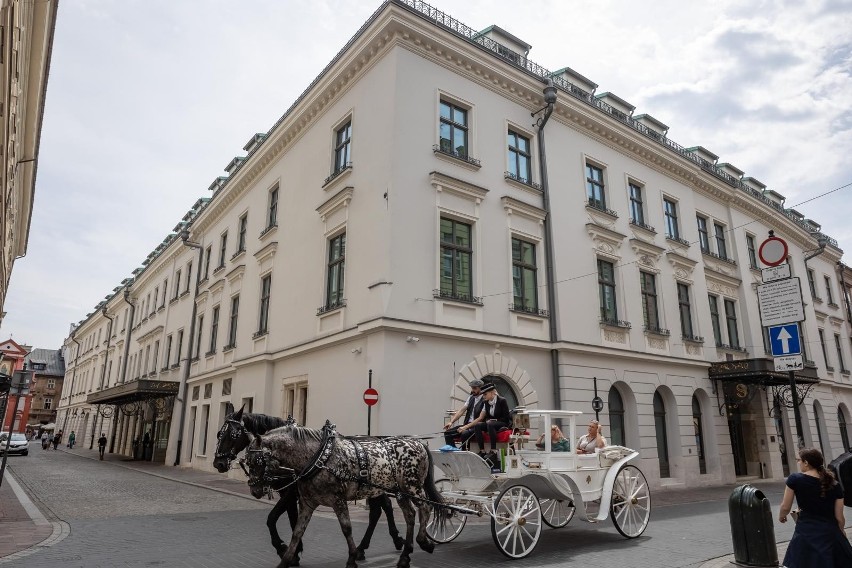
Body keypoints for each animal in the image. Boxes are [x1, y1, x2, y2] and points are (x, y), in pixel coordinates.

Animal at [211, 406, 402, 560]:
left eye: (232, 434)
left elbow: (272, 518)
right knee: (382, 507)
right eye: (219, 434)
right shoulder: (291, 493)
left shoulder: (290, 492)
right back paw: (380, 543)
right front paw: (294, 550)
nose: (218, 463)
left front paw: (283, 548)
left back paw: (376, 544)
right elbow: (292, 519)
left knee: (381, 509)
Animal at [245, 422, 446, 568]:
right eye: (246, 461)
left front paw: (352, 559)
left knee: (425, 507)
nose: (254, 490)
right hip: (400, 492)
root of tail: (418, 443)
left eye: (255, 461)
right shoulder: (307, 503)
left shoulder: (338, 500)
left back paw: (423, 542)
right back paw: (405, 555)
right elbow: (297, 532)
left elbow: (346, 528)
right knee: (409, 516)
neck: (317, 458)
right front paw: (286, 560)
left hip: (412, 487)